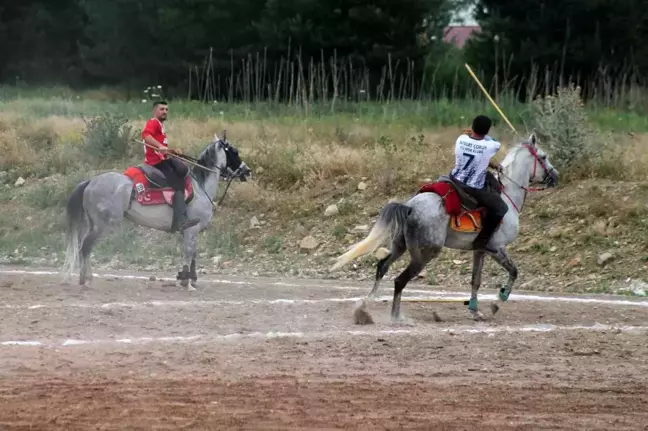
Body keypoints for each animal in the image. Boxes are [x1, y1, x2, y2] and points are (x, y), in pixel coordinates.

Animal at [63, 133, 251, 288]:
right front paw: (185, 279)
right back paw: (87, 279)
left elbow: (193, 253)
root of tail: (91, 182)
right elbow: (189, 253)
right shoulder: (191, 229)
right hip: (103, 225)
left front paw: (191, 278)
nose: (247, 171)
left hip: (93, 223)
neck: (200, 187)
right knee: (86, 247)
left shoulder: (192, 231)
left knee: (84, 246)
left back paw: (85, 278)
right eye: (234, 151)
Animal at [332, 133, 560, 322]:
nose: (556, 176)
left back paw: (366, 305)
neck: (508, 195)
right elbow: (513, 271)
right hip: (424, 255)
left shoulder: (480, 250)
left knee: (382, 267)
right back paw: (396, 317)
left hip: (400, 246)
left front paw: (475, 311)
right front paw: (497, 302)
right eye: (544, 156)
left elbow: (475, 280)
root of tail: (410, 206)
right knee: (399, 280)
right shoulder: (496, 248)